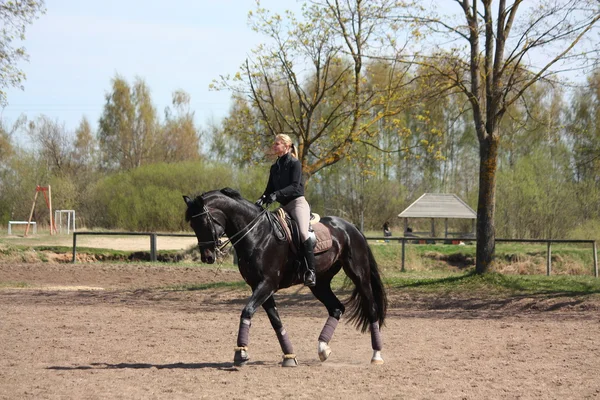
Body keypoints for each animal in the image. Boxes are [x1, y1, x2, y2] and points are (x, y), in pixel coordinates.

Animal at [184, 188, 390, 366]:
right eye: (193, 225)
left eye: (204, 222)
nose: (207, 257)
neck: (256, 234)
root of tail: (351, 227)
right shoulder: (258, 286)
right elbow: (275, 320)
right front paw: (289, 356)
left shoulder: (267, 284)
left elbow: (247, 311)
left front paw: (241, 352)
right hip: (320, 283)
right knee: (336, 308)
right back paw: (323, 349)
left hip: (359, 274)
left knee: (371, 308)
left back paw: (376, 355)